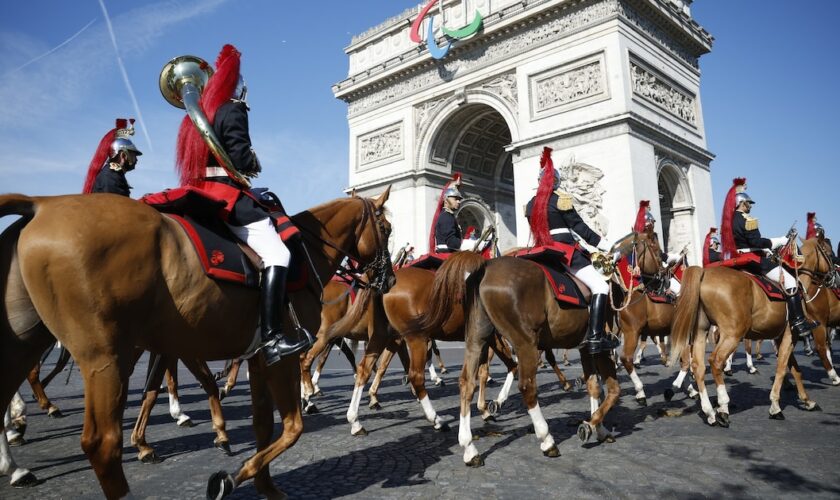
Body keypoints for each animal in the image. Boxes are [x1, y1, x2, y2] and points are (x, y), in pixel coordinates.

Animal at [0, 188, 394, 500]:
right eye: (386, 229)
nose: (389, 279)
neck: (303, 255)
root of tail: (43, 203)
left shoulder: (256, 359)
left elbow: (262, 426)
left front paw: (263, 485)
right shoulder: (278, 358)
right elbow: (293, 427)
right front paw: (231, 475)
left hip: (26, 345)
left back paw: (17, 459)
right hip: (106, 358)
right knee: (102, 443)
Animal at [452, 232, 656, 466]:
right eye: (655, 247)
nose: (664, 278)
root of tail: (485, 268)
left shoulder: (586, 348)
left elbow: (594, 387)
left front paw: (598, 427)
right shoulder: (603, 347)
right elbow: (614, 390)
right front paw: (591, 425)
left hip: (477, 340)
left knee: (467, 384)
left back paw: (469, 447)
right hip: (525, 344)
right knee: (526, 386)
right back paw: (546, 439)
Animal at [668, 250, 816, 426]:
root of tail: (704, 273)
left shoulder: (781, 337)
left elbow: (795, 369)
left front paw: (807, 400)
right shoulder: (789, 334)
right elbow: (781, 368)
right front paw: (775, 406)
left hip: (701, 331)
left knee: (698, 366)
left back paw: (709, 411)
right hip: (733, 334)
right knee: (715, 361)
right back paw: (723, 407)